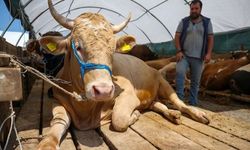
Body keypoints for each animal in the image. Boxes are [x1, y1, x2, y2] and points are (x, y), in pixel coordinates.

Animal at [37, 0, 209, 149]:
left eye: (113, 50)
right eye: (78, 47)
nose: (103, 91)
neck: (85, 108)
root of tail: (153, 68)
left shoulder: (128, 94)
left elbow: (118, 119)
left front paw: (135, 114)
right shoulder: (58, 100)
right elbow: (58, 121)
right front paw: (47, 144)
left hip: (165, 86)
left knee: (180, 103)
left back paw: (197, 114)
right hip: (152, 97)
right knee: (158, 104)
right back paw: (172, 114)